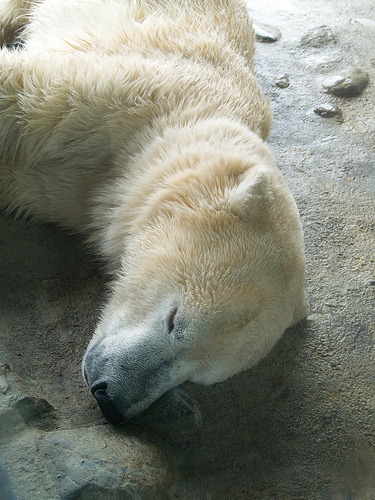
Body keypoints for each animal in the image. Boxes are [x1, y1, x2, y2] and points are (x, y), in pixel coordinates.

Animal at [0, 0, 308, 424]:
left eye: (197, 375)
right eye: (175, 320)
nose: (110, 399)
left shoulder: (69, 193)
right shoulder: (122, 89)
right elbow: (21, 89)